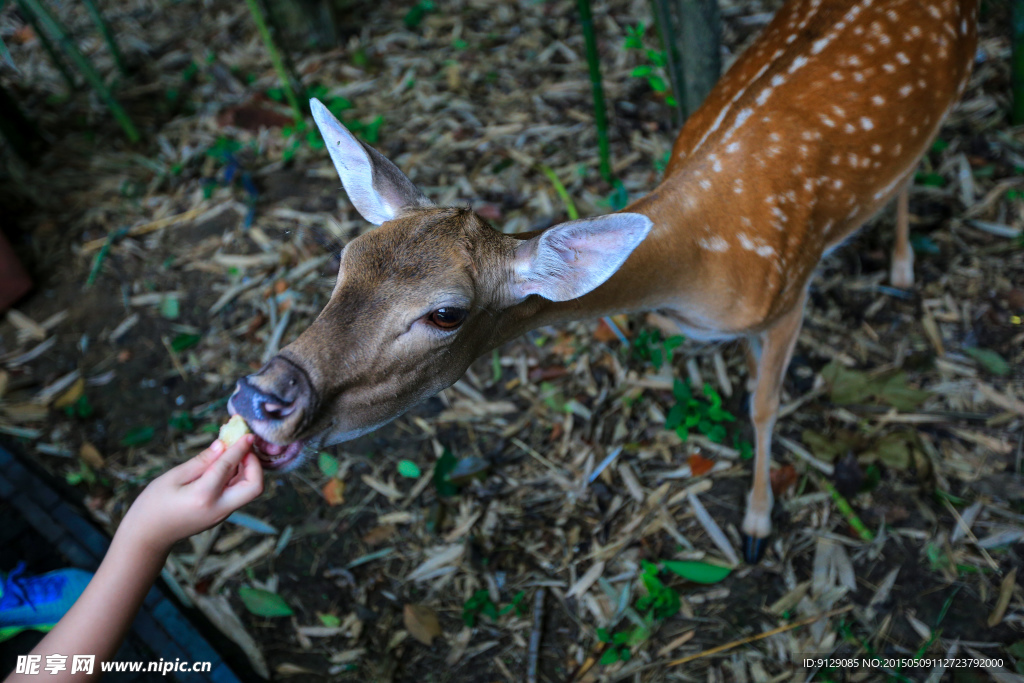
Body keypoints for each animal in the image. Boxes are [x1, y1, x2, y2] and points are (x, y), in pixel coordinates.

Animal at [228, 0, 978, 561]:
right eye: (346, 257)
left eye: (445, 313)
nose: (262, 395)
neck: (695, 270)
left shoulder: (789, 294)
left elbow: (765, 405)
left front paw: (758, 524)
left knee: (916, 165)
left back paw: (904, 265)